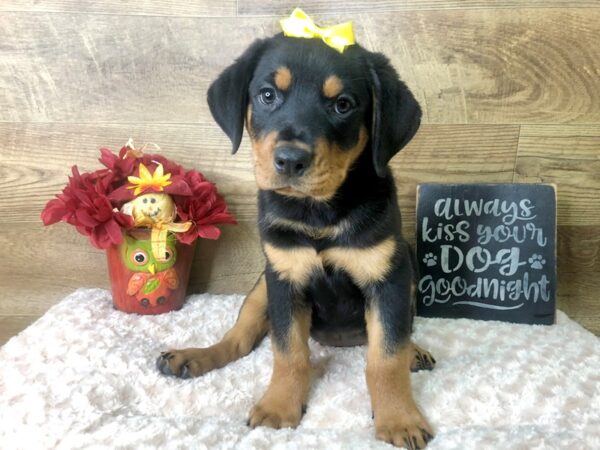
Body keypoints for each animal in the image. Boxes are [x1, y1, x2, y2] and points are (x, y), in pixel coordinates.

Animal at [155, 32, 436, 450]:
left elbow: (386, 357)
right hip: (261, 286)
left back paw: (414, 353)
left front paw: (399, 419)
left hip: (409, 266)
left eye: (343, 104)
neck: (318, 211)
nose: (289, 160)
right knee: (240, 339)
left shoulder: (387, 278)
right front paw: (279, 407)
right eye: (267, 95)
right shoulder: (284, 278)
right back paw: (192, 358)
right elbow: (288, 352)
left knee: (395, 337)